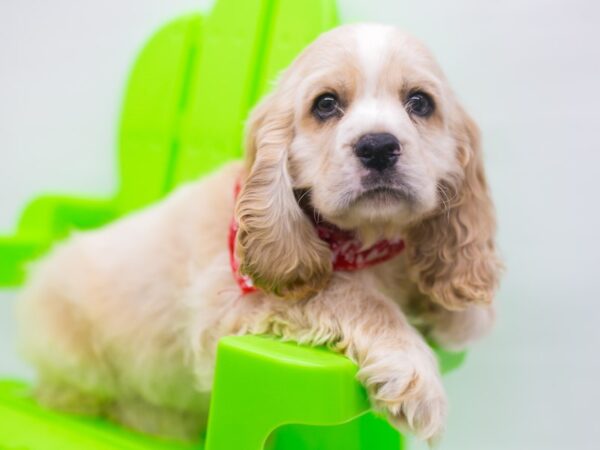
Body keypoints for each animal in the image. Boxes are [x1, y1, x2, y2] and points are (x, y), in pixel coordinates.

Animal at [16, 22, 500, 442]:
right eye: (325, 104)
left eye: (420, 103)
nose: (378, 147)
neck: (364, 241)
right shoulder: (225, 313)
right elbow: (348, 293)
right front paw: (415, 373)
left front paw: (457, 309)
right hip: (73, 355)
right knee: (79, 396)